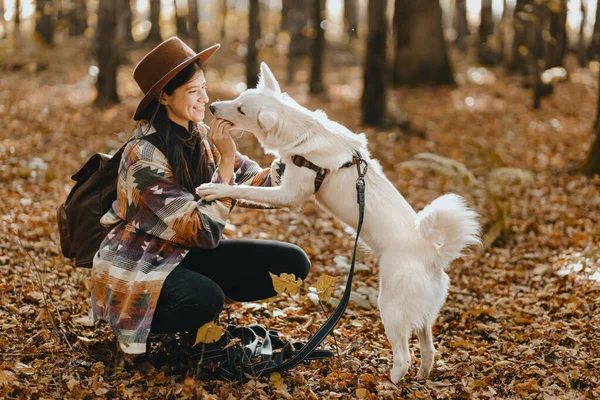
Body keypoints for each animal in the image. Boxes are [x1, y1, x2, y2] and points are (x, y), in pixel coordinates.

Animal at [199, 61, 480, 382]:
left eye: (241, 109)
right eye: (238, 98)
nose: (212, 106)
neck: (303, 132)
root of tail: (434, 256)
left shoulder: (289, 196)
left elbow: (243, 189)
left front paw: (216, 189)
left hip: (391, 307)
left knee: (404, 355)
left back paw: (392, 381)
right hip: (422, 314)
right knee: (429, 348)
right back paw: (422, 375)